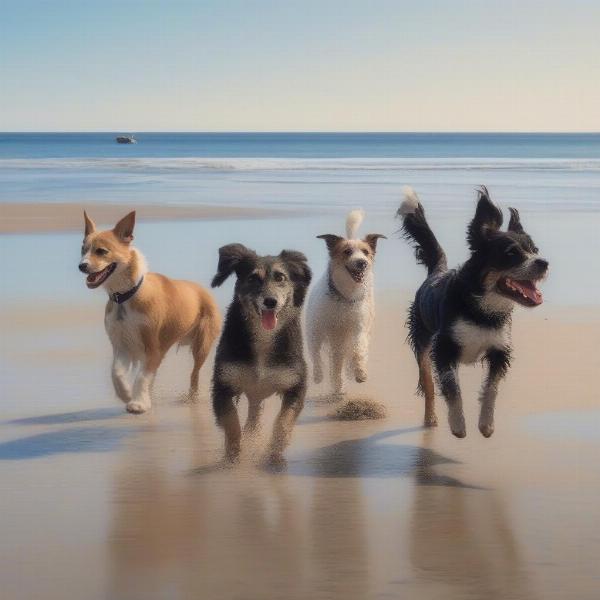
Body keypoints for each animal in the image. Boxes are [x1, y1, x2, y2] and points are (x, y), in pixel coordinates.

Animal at [78, 213, 220, 414]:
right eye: (83, 250)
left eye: (101, 251)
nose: (81, 266)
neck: (126, 297)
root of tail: (203, 290)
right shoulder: (122, 345)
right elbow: (116, 374)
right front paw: (127, 394)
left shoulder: (153, 349)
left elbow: (142, 377)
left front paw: (139, 403)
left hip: (202, 346)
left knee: (194, 375)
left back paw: (190, 398)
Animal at [211, 243, 312, 464]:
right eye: (253, 278)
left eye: (280, 277)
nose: (270, 301)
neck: (264, 338)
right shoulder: (223, 385)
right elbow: (231, 421)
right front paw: (233, 453)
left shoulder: (295, 384)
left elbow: (284, 420)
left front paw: (275, 451)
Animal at [308, 209, 386, 396]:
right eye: (347, 251)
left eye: (365, 252)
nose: (362, 263)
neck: (344, 297)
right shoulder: (321, 330)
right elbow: (320, 356)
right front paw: (322, 377)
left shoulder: (358, 326)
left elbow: (358, 350)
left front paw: (360, 372)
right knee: (325, 358)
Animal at [398, 185, 548, 438]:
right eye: (511, 253)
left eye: (535, 250)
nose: (544, 262)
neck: (482, 309)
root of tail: (437, 271)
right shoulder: (444, 348)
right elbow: (452, 387)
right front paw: (458, 424)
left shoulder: (500, 348)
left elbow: (491, 388)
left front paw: (486, 425)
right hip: (422, 340)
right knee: (428, 383)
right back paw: (430, 418)